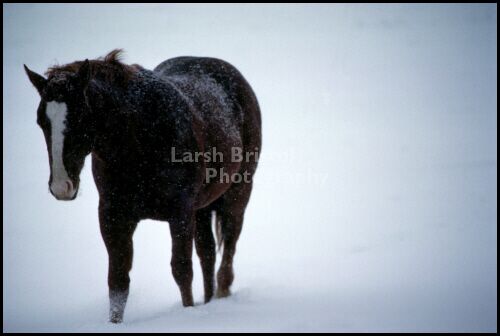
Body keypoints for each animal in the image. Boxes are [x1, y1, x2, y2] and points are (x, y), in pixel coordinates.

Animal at [24, 50, 262, 322]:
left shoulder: (180, 212)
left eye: (80, 118)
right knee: (208, 253)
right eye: (41, 121)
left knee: (228, 252)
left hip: (237, 196)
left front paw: (188, 312)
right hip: (203, 207)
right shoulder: (113, 214)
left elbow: (181, 270)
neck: (140, 136)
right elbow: (118, 278)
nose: (61, 186)